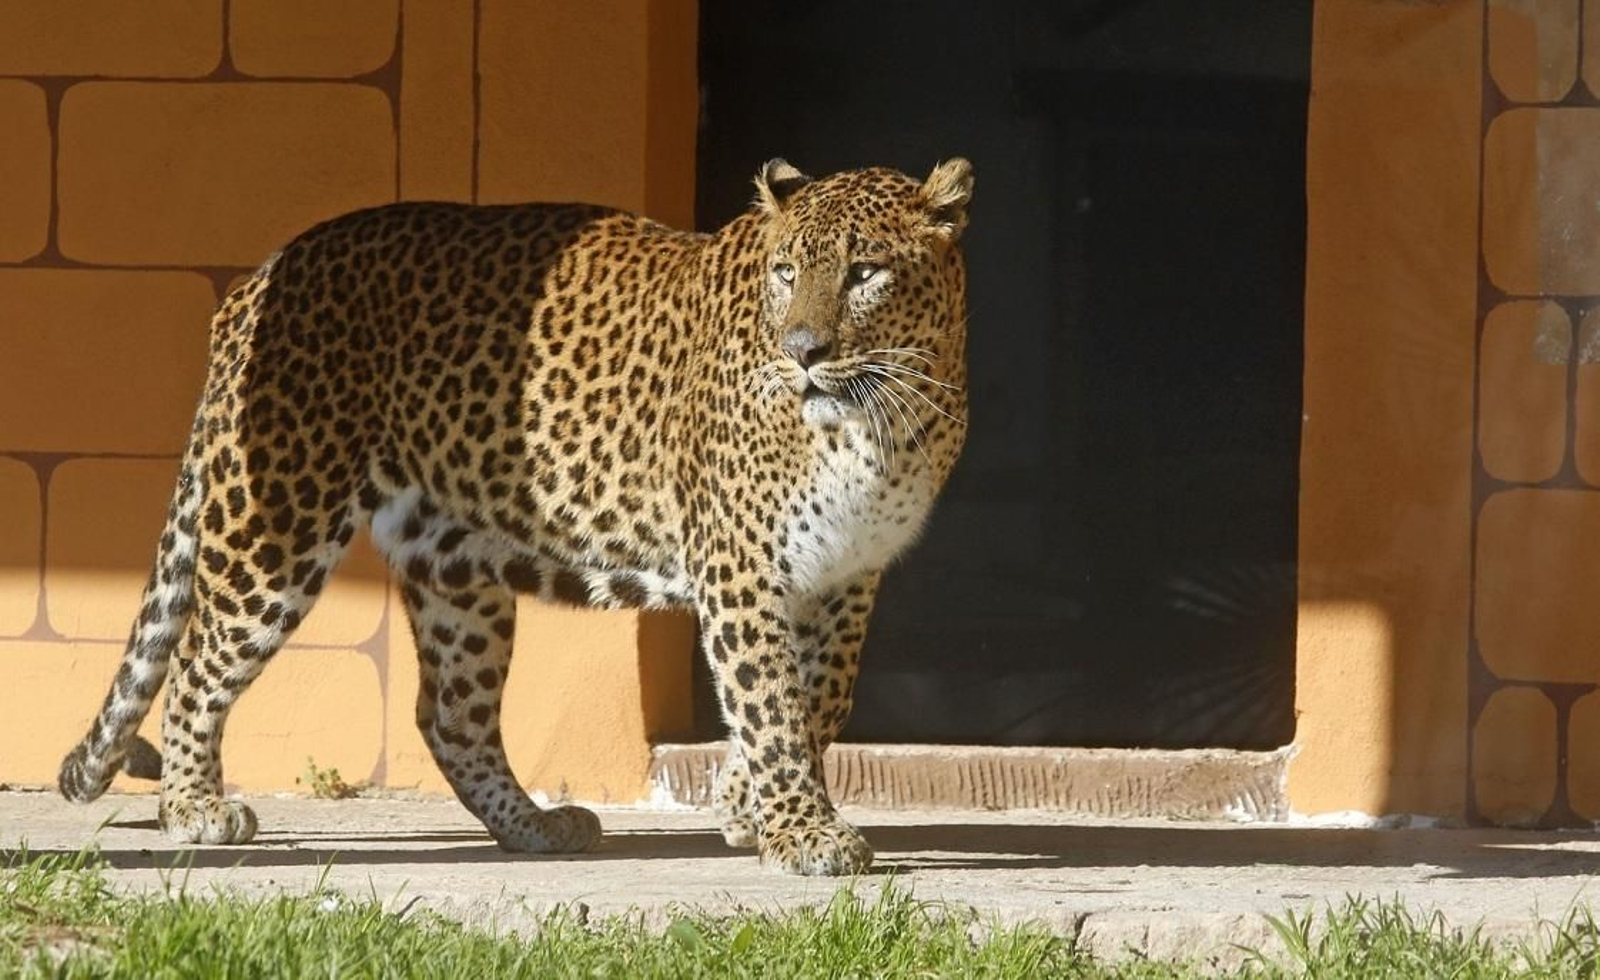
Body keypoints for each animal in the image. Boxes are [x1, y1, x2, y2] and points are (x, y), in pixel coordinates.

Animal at [57, 156, 973, 876]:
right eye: (786, 271)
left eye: (864, 273)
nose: (803, 352)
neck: (882, 421)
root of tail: (260, 276)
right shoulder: (741, 566)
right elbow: (772, 701)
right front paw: (803, 833)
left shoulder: (849, 574)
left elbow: (820, 700)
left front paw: (751, 806)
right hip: (278, 518)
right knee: (196, 660)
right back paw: (194, 810)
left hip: (455, 568)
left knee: (449, 716)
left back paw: (533, 825)